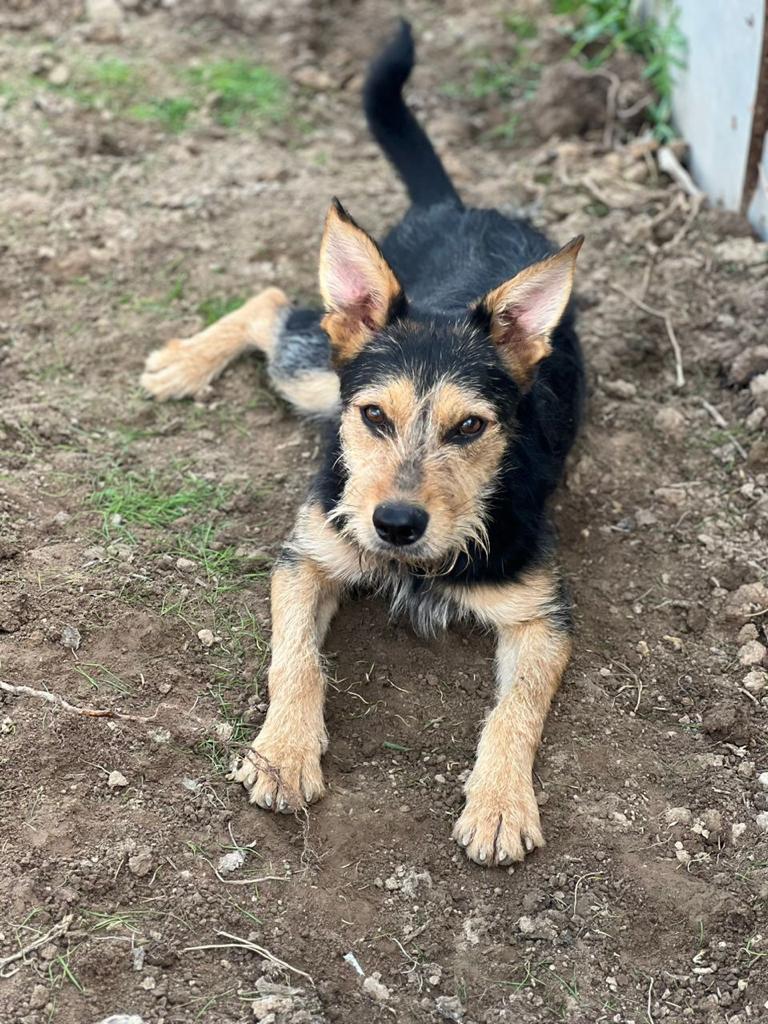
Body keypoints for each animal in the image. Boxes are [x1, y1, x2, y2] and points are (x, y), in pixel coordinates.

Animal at [141, 22, 585, 864]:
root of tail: (455, 207)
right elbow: (296, 661)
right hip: (316, 376)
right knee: (275, 304)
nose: (397, 524)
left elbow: (515, 710)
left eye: (471, 427)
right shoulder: (307, 556)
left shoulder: (541, 617)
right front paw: (283, 751)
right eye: (375, 417)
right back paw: (184, 363)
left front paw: (501, 802)